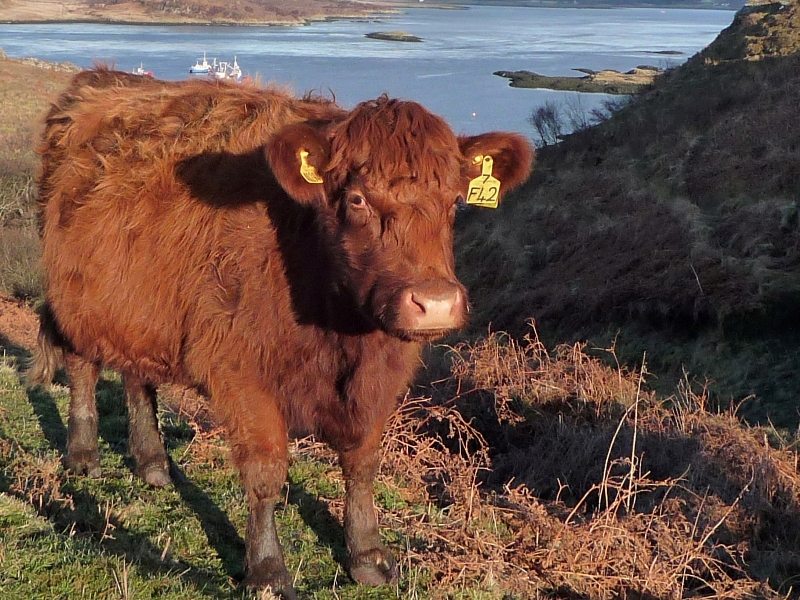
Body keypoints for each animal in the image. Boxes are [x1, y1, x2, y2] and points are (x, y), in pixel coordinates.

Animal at [29, 68, 532, 596]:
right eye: (356, 198)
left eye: (455, 200)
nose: (433, 303)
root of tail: (97, 80)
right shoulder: (242, 373)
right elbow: (267, 471)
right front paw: (267, 570)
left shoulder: (380, 377)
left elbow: (362, 462)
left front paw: (368, 554)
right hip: (76, 299)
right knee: (82, 365)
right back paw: (84, 453)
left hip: (142, 309)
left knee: (137, 376)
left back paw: (152, 464)